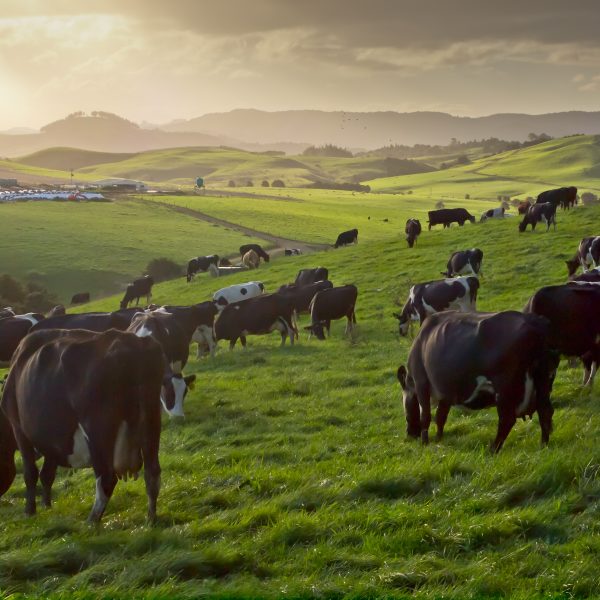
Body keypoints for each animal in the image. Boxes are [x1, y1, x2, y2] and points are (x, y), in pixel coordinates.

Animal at [0, 328, 164, 520]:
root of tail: (133, 343)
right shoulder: (54, 441)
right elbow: (47, 474)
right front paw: (47, 506)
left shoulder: (19, 428)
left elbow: (30, 473)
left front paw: (30, 511)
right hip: (151, 420)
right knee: (152, 473)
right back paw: (151, 518)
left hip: (97, 430)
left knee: (107, 477)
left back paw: (92, 520)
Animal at [398, 310, 556, 450]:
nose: (410, 435)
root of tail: (535, 321)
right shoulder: (446, 392)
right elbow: (440, 416)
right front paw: (438, 439)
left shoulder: (421, 382)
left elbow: (425, 415)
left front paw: (425, 443)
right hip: (543, 380)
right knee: (545, 411)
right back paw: (543, 446)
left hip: (505, 388)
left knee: (507, 420)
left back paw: (492, 449)